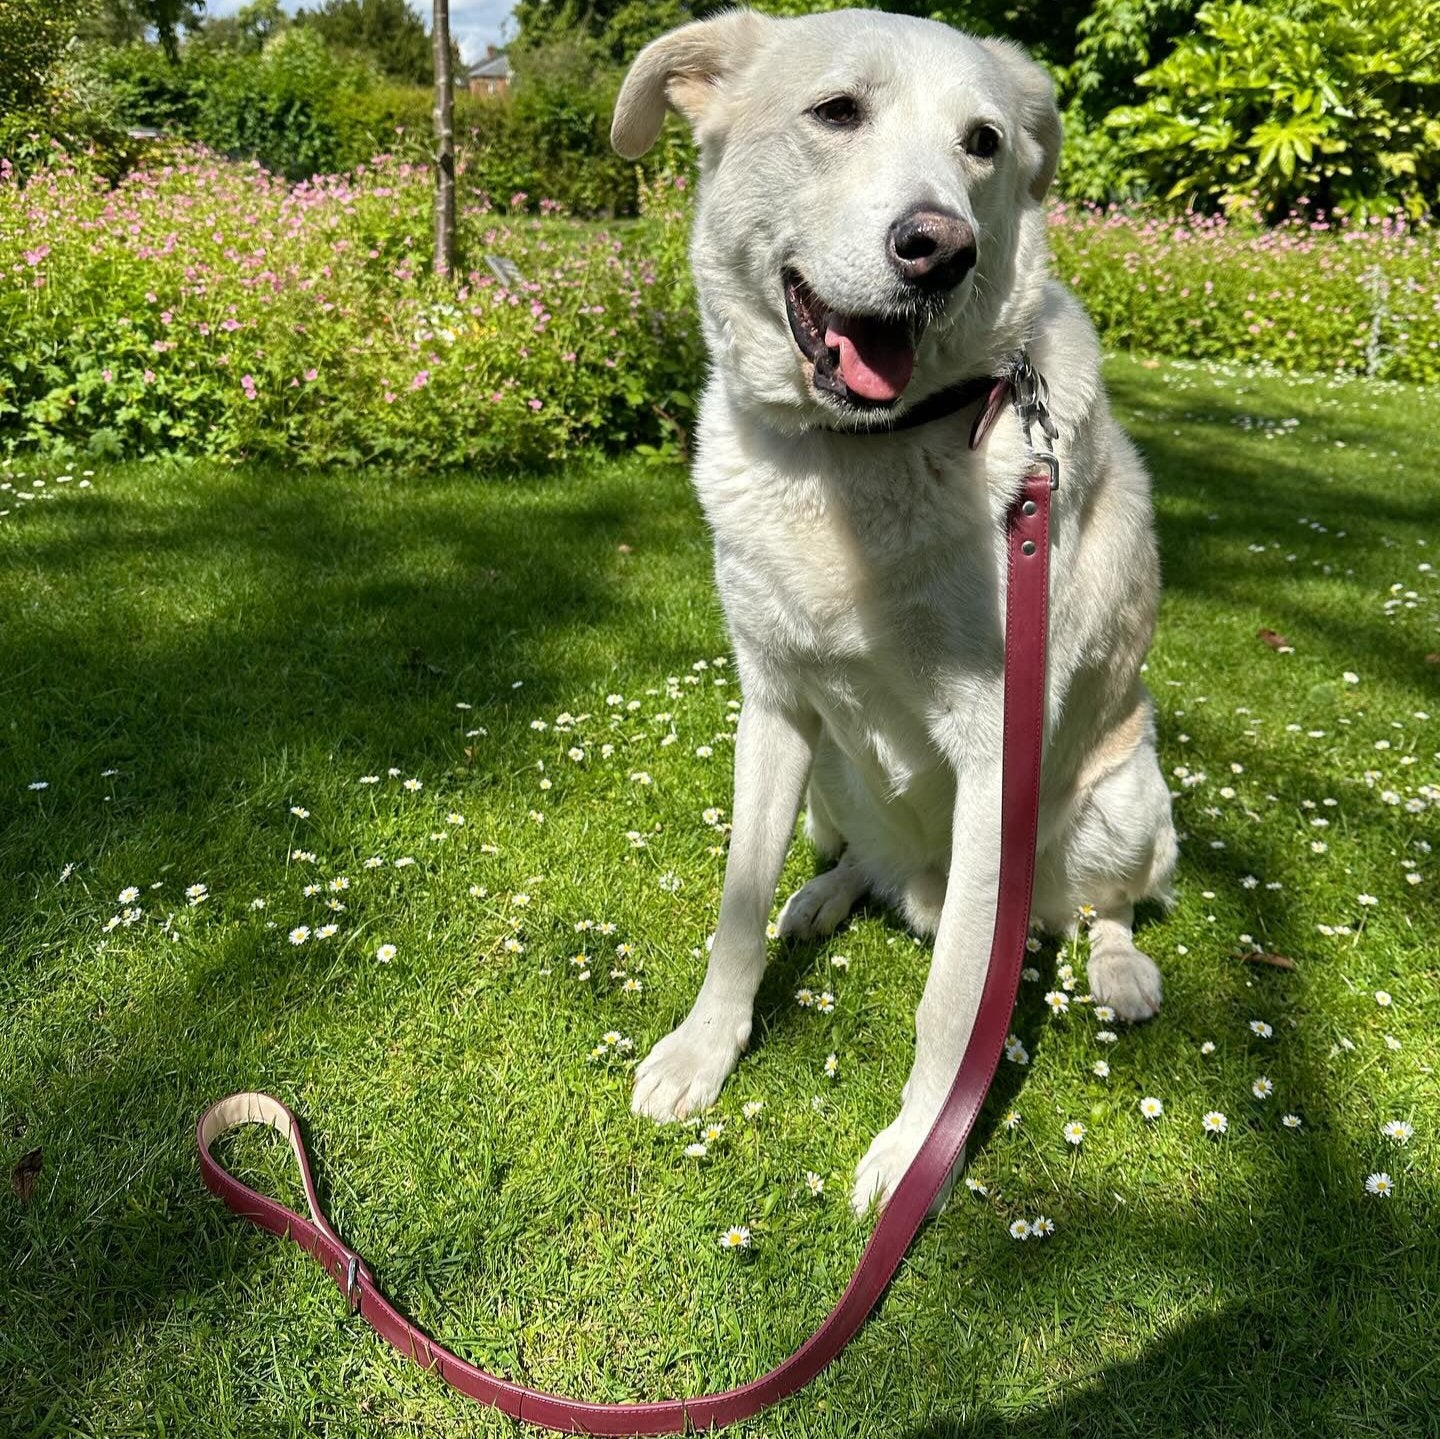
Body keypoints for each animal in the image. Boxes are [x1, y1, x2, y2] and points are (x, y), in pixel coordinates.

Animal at [613, 8, 1175, 1215]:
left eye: (984, 143)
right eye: (836, 111)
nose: (941, 247)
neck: (858, 456)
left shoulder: (996, 767)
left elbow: (954, 1001)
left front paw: (923, 1148)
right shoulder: (773, 708)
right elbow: (734, 914)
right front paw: (703, 1053)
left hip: (1124, 800)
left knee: (1110, 903)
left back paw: (1119, 968)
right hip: (831, 774)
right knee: (854, 861)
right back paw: (824, 897)